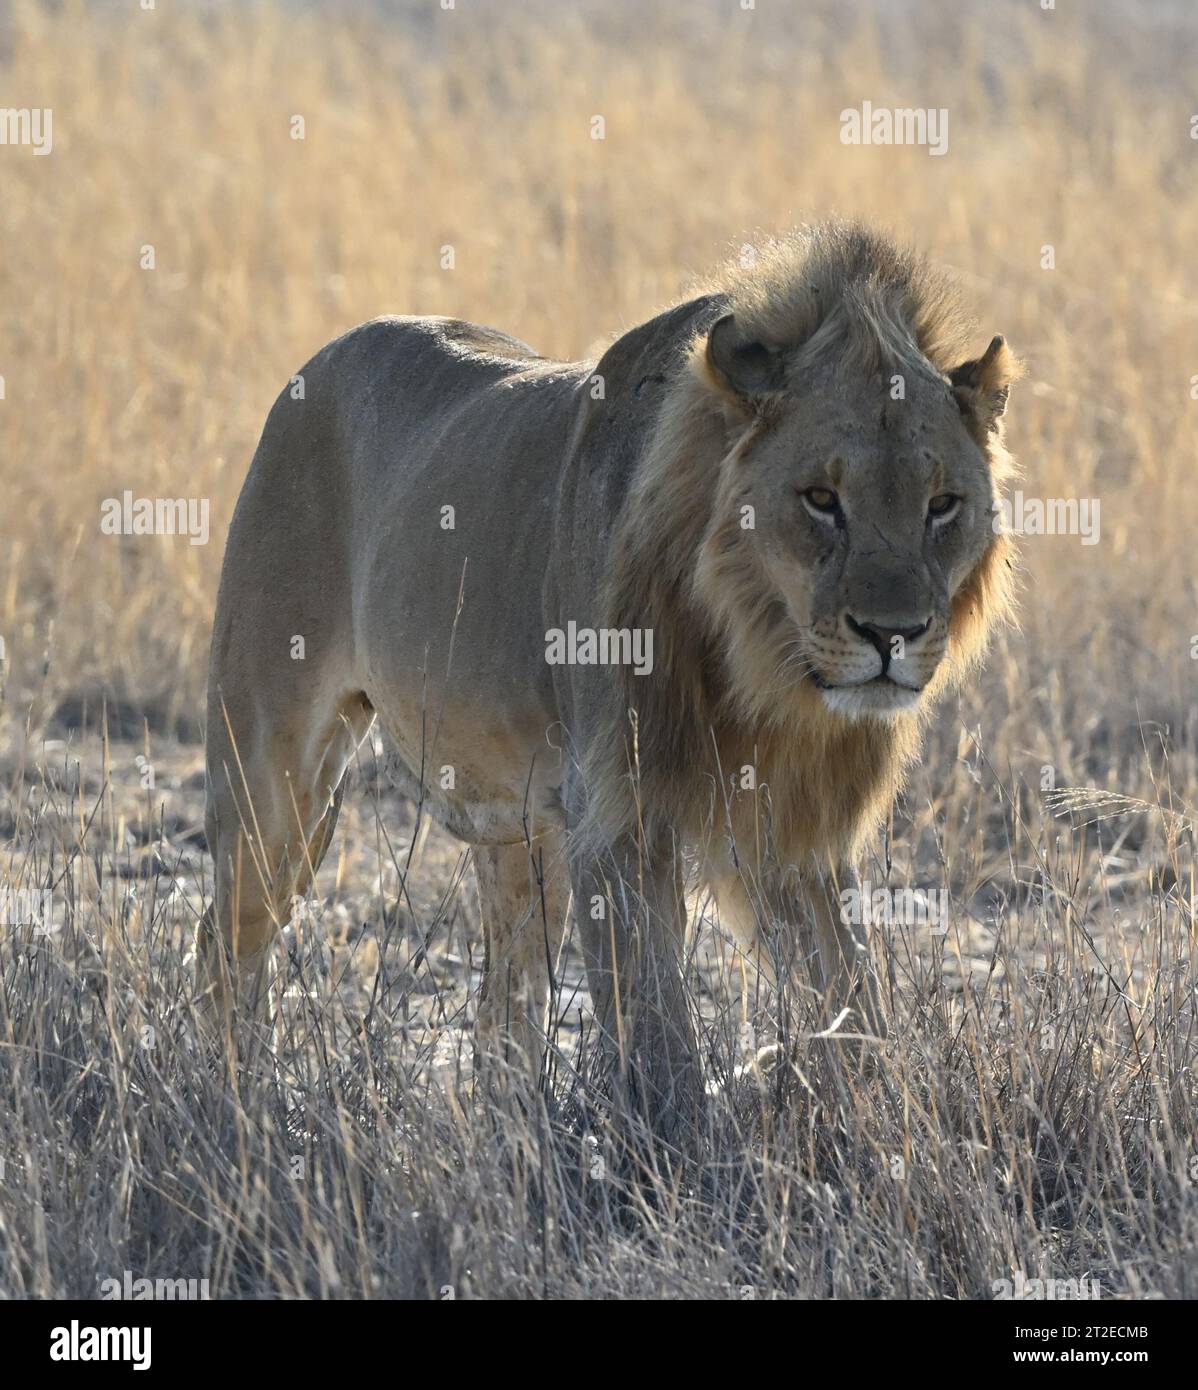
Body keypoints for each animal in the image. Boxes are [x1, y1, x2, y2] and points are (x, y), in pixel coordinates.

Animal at [198, 219, 1022, 1128]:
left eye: (942, 506)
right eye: (820, 499)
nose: (893, 633)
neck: (762, 665)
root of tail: (324, 356)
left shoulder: (792, 826)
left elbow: (849, 992)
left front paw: (880, 1120)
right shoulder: (618, 810)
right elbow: (658, 1029)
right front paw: (679, 1141)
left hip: (523, 835)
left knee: (503, 1009)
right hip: (276, 775)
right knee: (229, 938)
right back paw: (237, 1101)